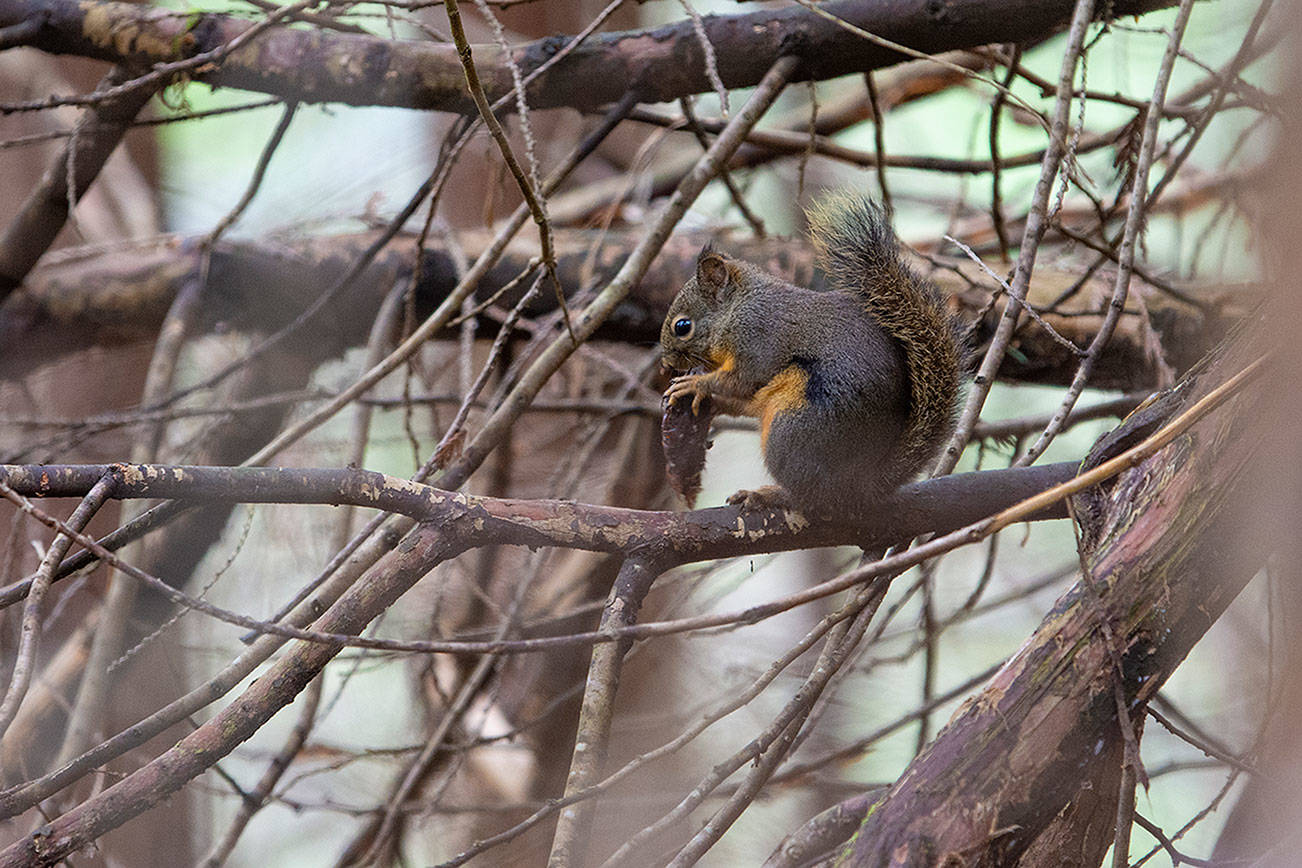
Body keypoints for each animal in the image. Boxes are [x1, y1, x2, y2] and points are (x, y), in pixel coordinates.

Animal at [661, 195, 968, 515]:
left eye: (682, 326)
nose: (666, 364)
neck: (737, 309)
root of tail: (861, 484)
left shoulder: (757, 340)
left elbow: (742, 380)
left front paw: (695, 384)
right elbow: (743, 396)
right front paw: (709, 399)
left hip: (792, 428)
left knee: (812, 497)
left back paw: (769, 495)